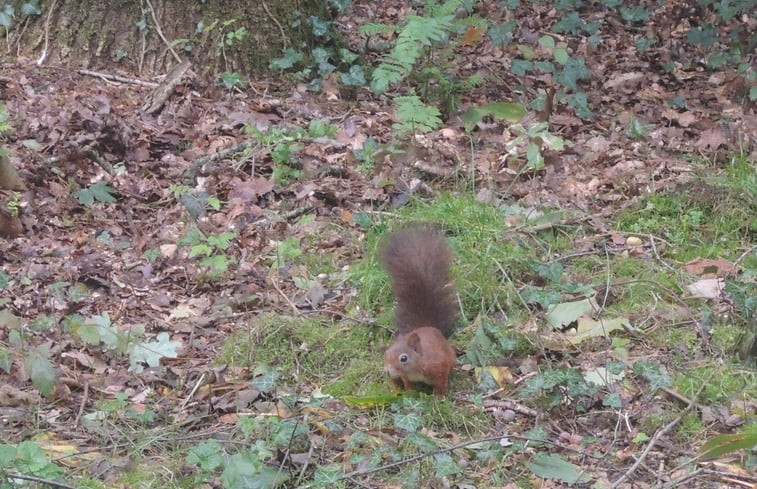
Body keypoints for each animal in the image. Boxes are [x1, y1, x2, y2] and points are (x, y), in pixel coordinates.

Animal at [384, 227, 454, 394]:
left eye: (403, 358)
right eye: (386, 353)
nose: (388, 371)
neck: (415, 368)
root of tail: (427, 326)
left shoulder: (439, 366)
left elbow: (442, 383)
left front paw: (438, 397)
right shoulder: (405, 376)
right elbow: (407, 383)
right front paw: (409, 393)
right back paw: (394, 388)